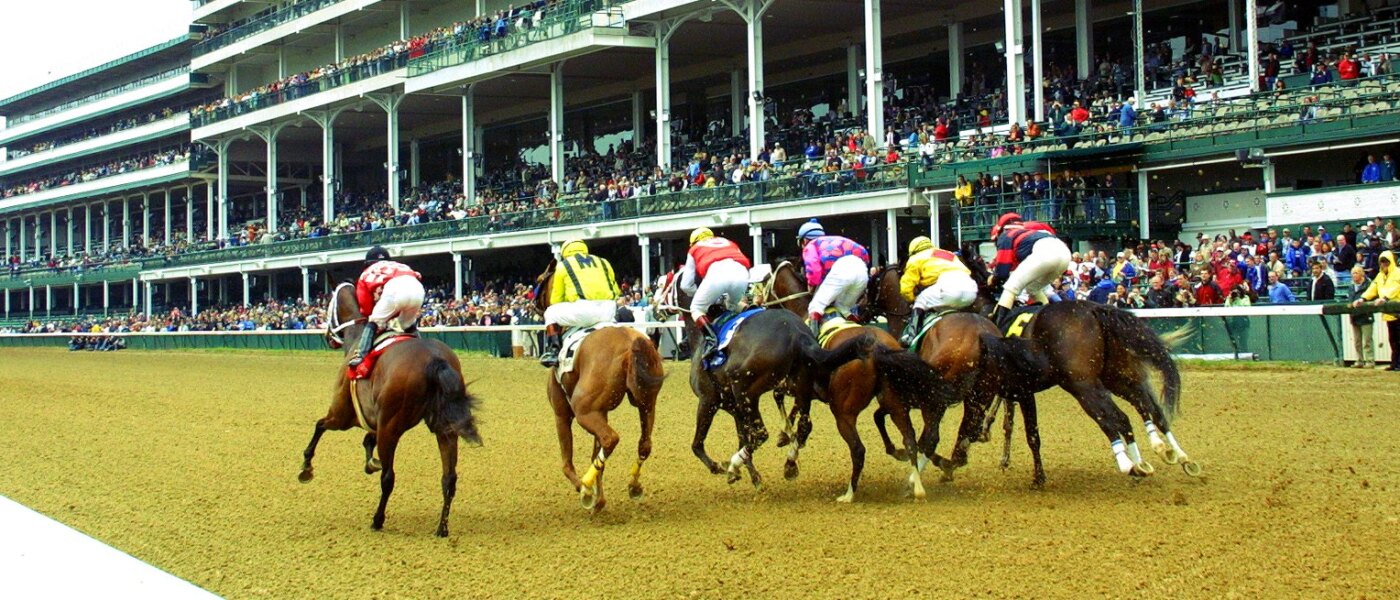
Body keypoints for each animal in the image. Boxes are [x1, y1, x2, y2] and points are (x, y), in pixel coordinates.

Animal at [296, 282, 481, 534]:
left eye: (328, 304)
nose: (327, 337)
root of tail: (435, 360)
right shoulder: (375, 419)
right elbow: (367, 441)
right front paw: (370, 463)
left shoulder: (343, 416)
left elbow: (320, 426)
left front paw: (306, 466)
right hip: (444, 427)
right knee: (449, 478)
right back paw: (441, 528)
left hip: (391, 428)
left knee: (389, 478)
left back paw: (377, 520)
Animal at [532, 260, 669, 511]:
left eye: (539, 280)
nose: (533, 304)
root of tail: (631, 343)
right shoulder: (601, 410)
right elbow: (597, 457)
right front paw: (600, 499)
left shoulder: (562, 413)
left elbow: (566, 463)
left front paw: (587, 492)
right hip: (646, 404)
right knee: (644, 444)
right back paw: (633, 484)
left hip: (583, 410)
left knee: (610, 438)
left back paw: (586, 488)